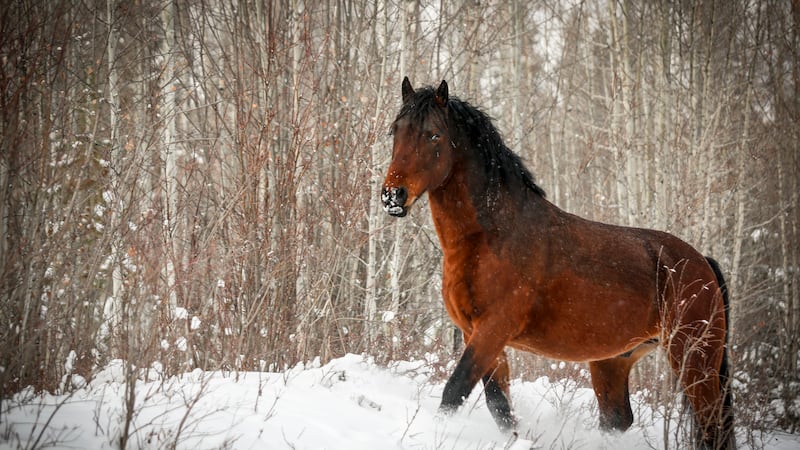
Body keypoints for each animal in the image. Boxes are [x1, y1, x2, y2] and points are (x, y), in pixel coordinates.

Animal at [381, 78, 735, 449]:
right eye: (396, 131)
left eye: (434, 135)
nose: (393, 196)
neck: (493, 235)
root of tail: (702, 263)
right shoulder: (475, 334)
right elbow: (499, 405)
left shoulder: (492, 329)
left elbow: (456, 390)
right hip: (613, 362)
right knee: (617, 419)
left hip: (695, 361)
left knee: (711, 426)